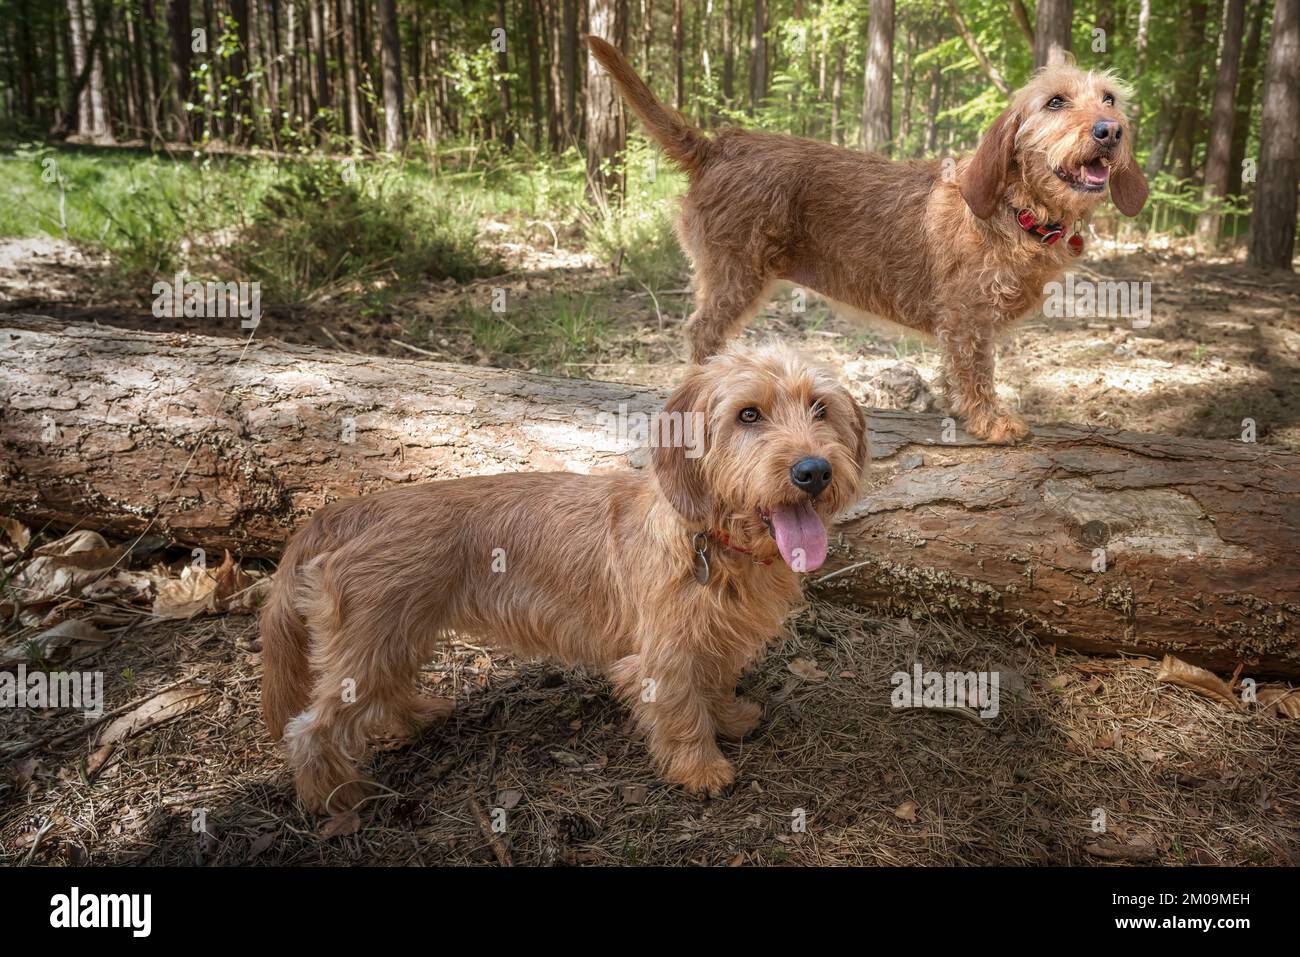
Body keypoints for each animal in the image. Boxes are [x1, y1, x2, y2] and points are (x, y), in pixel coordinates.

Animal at [263, 343, 868, 806]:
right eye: (748, 414)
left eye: (819, 408)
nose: (814, 471)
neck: (715, 542)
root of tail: (353, 509)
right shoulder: (662, 658)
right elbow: (681, 712)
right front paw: (701, 770)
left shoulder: (714, 641)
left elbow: (714, 683)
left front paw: (730, 717)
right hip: (371, 643)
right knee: (309, 731)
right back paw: (337, 801)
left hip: (396, 636)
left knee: (383, 693)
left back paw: (416, 716)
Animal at [590, 36, 1149, 442]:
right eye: (1055, 102)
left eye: (1109, 98)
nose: (1109, 130)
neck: (1017, 210)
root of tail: (716, 146)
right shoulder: (966, 319)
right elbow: (976, 372)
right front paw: (991, 421)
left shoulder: (966, 325)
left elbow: (956, 373)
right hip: (735, 275)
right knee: (700, 334)